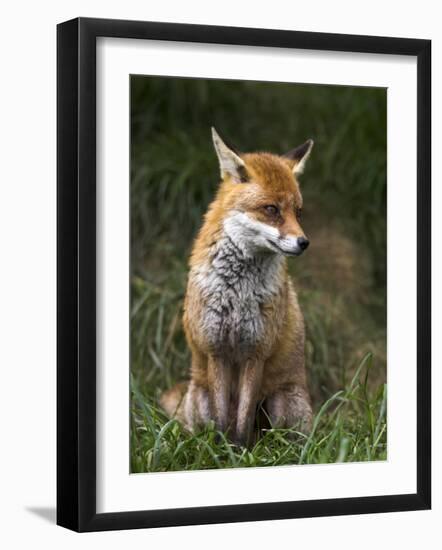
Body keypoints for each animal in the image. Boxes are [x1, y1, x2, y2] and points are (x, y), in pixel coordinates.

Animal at [161, 129, 312, 448]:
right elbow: (222, 419)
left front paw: (242, 451)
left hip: (281, 402)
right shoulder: (216, 349)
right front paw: (222, 452)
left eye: (298, 212)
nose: (304, 242)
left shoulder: (256, 351)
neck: (237, 291)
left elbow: (242, 421)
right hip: (200, 396)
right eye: (271, 209)